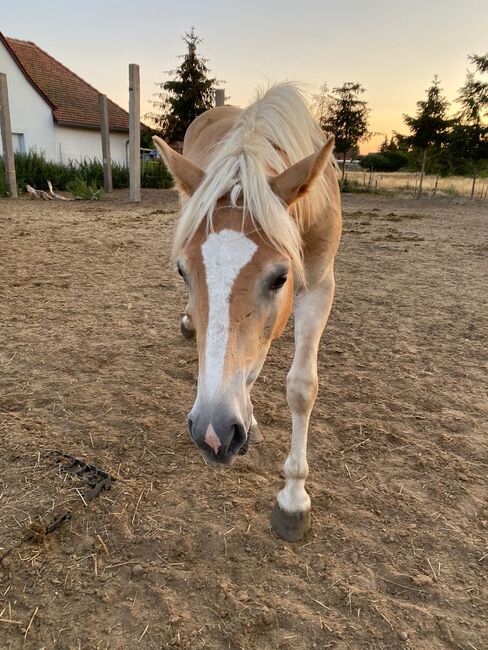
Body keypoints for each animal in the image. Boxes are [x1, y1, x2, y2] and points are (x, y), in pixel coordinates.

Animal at [154, 83, 342, 540]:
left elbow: (300, 387)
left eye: (279, 277)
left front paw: (293, 499)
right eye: (182, 271)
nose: (212, 432)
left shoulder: (319, 287)